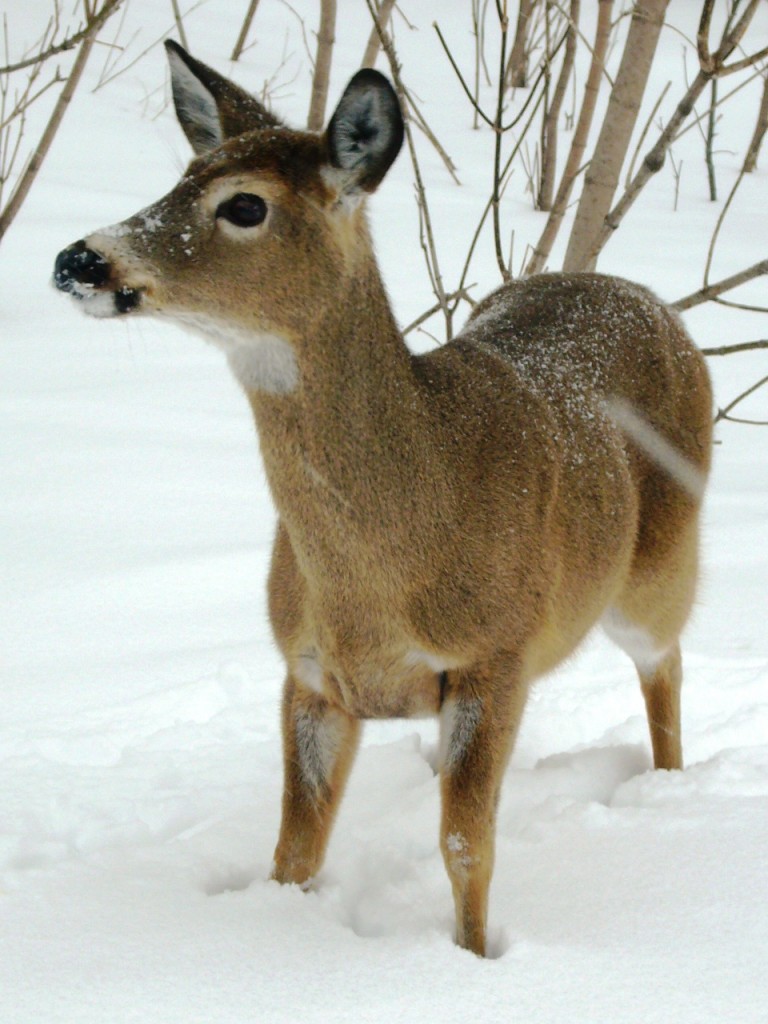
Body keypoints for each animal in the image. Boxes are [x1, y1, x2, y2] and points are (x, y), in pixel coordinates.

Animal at [54, 37, 716, 950]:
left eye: (245, 205)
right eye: (183, 174)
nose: (78, 259)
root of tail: (646, 296)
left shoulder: (494, 655)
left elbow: (467, 844)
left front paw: (473, 956)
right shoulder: (307, 672)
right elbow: (297, 844)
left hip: (660, 563)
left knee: (668, 662)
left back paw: (668, 789)